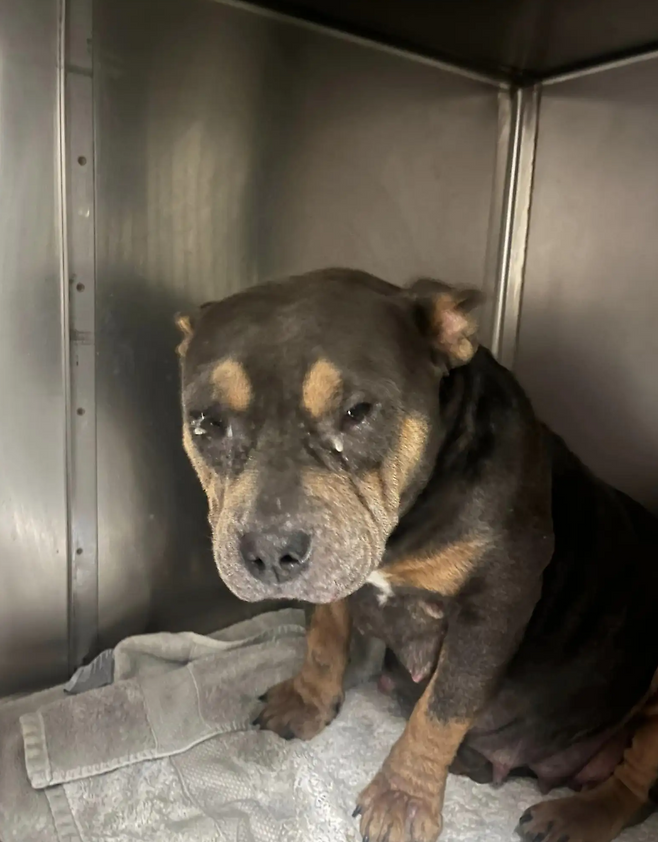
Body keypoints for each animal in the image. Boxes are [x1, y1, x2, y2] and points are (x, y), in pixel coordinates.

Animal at [176, 268, 658, 842]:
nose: (270, 551)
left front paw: (402, 798)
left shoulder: (491, 609)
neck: (401, 525)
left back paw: (574, 816)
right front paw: (309, 700)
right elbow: (323, 639)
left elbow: (442, 710)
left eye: (357, 413)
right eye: (206, 422)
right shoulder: (336, 575)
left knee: (633, 790)